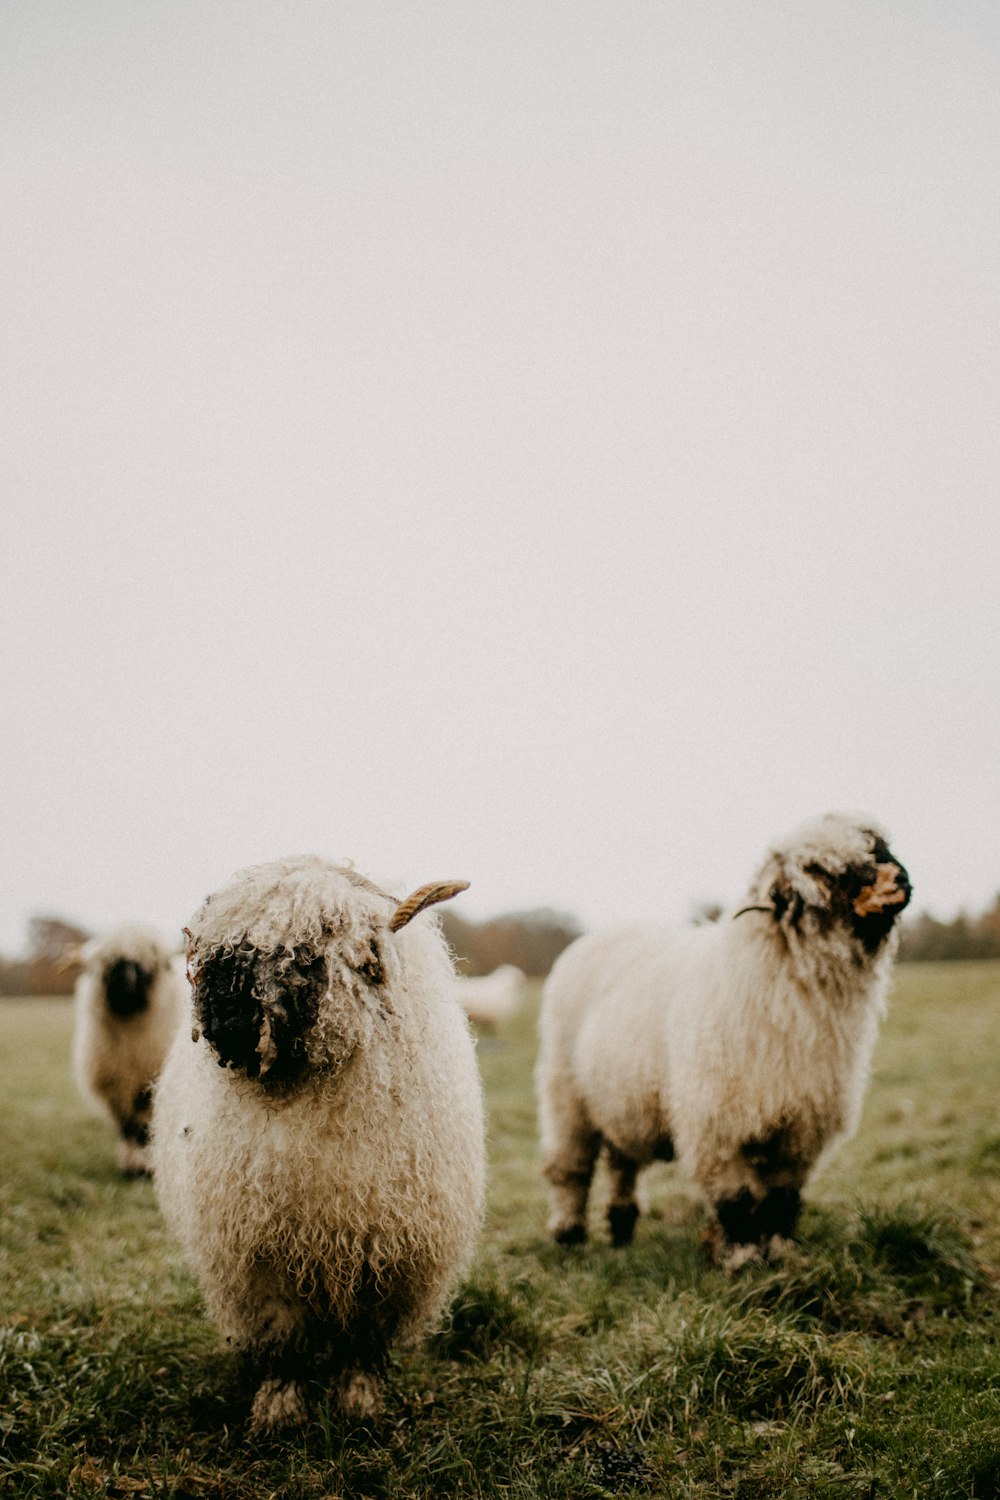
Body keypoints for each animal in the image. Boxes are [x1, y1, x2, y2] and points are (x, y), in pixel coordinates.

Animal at [72, 918, 187, 1176]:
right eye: (109, 965)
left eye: (148, 967)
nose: (125, 988)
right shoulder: (114, 1086)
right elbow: (127, 1127)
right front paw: (130, 1165)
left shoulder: (149, 1088)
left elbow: (144, 1128)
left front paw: (144, 1166)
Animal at [149, 858, 488, 1428]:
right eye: (215, 950)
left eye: (308, 952)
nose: (224, 1015)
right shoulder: (263, 1259)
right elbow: (284, 1342)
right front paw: (280, 1409)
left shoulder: (385, 1257)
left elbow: (363, 1343)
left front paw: (359, 1404)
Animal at [539, 816, 917, 1272]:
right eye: (817, 869)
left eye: (879, 848)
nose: (899, 879)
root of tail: (600, 935)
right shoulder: (715, 1122)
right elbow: (735, 1201)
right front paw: (742, 1259)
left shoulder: (800, 1126)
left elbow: (780, 1199)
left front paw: (780, 1251)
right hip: (567, 1097)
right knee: (570, 1170)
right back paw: (569, 1236)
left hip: (619, 1101)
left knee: (622, 1164)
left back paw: (622, 1229)